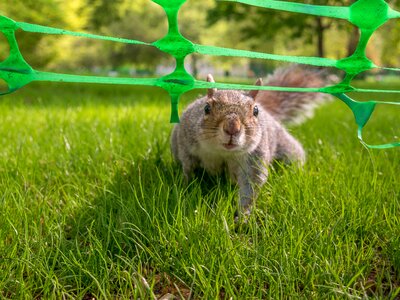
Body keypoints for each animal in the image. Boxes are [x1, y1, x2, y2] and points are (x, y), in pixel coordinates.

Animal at [170, 65, 330, 216]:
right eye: (206, 108)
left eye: (255, 111)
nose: (232, 128)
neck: (223, 152)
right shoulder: (186, 143)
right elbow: (188, 167)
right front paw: (185, 189)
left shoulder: (255, 157)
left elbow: (250, 186)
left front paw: (243, 216)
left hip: (286, 148)